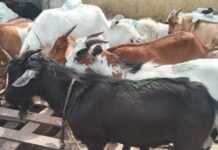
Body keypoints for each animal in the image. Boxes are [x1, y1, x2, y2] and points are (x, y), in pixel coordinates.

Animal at [5, 50, 217, 150]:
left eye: (15, 73)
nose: (6, 98)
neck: (74, 91)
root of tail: (210, 99)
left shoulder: (94, 139)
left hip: (188, 142)